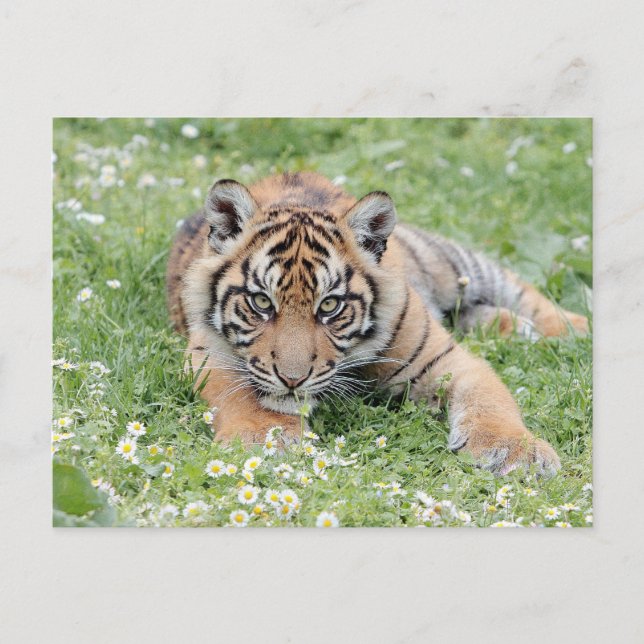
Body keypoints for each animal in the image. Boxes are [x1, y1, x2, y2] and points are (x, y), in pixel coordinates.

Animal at [167, 172, 588, 476]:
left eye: (330, 306)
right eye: (261, 302)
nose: (292, 379)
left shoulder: (447, 358)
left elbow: (489, 400)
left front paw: (517, 452)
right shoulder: (208, 351)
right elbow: (237, 393)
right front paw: (263, 438)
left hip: (453, 264)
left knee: (520, 289)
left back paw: (574, 328)